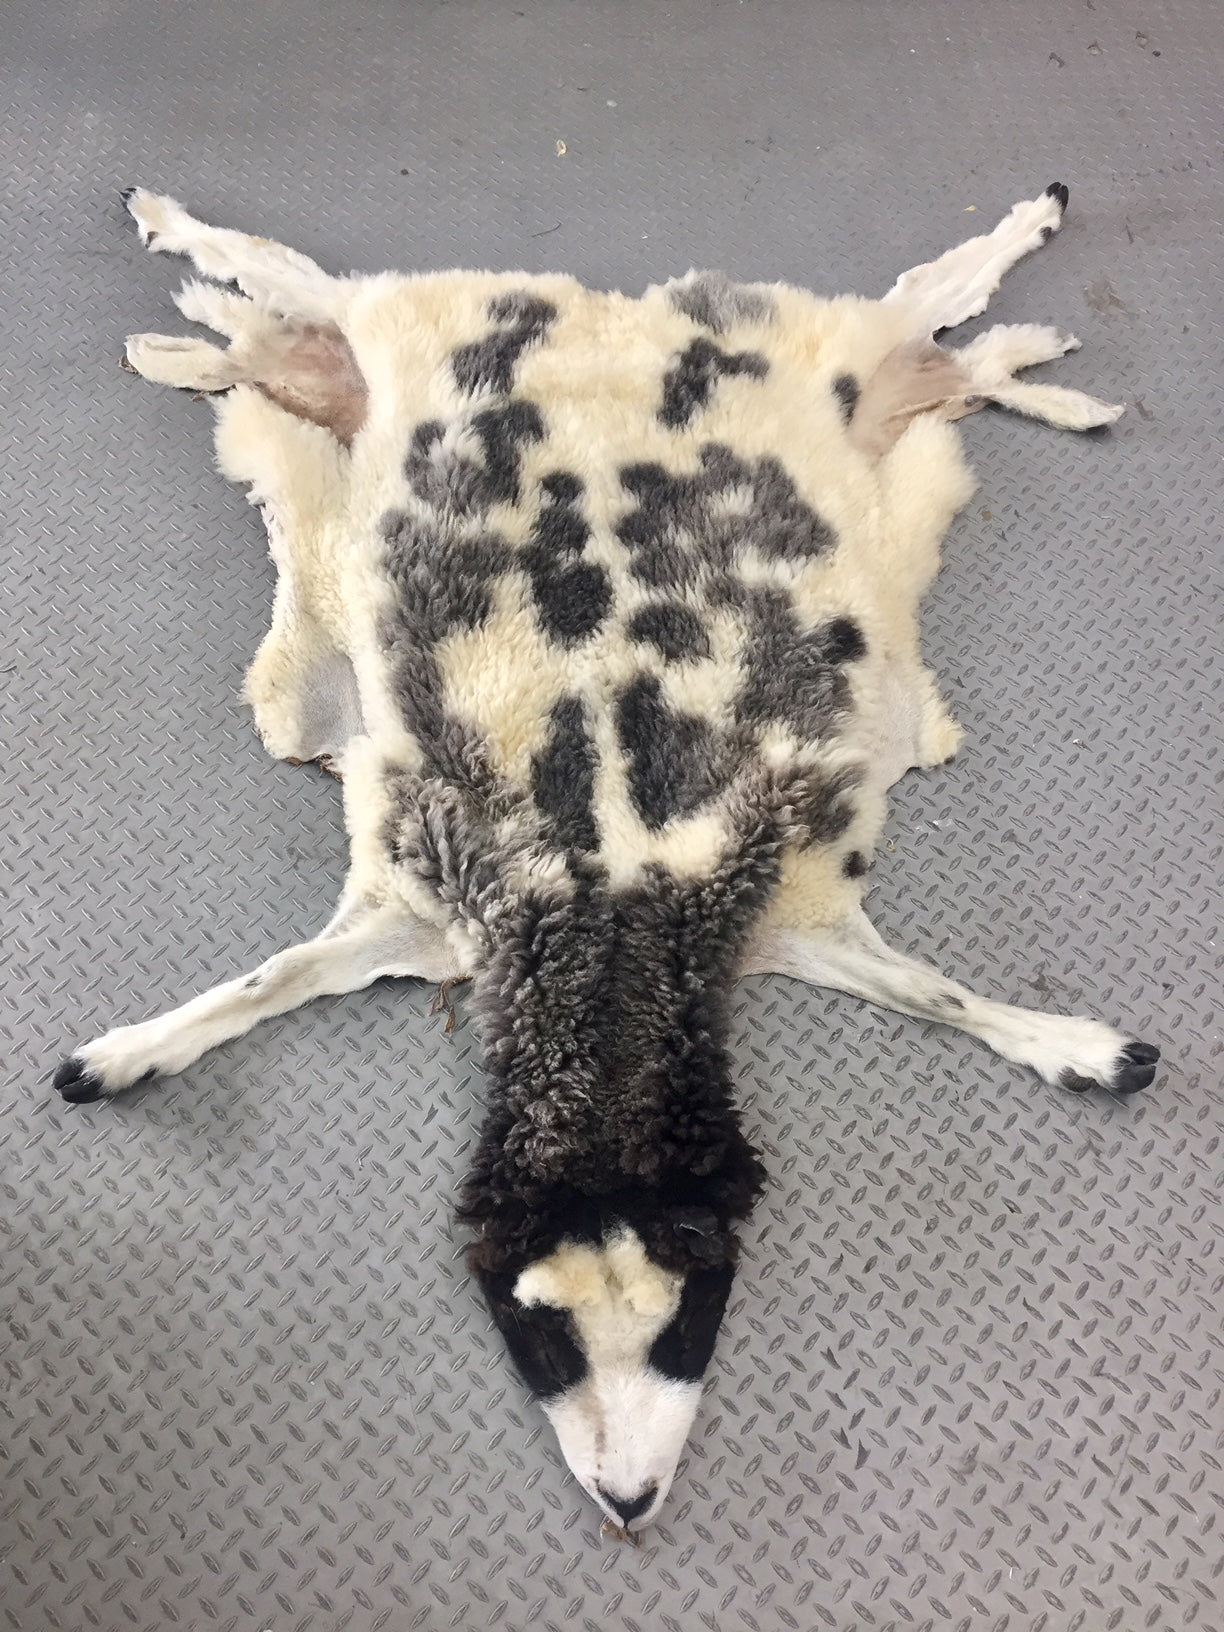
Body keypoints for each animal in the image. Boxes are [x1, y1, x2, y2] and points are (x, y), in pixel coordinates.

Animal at [53, 183, 1159, 1534]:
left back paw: (1026, 251)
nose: (630, 1503)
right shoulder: (422, 897)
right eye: (540, 1343)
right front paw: (122, 1055)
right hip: (387, 325)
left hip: (833, 363)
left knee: (925, 304)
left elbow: (936, 995)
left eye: (691, 1327)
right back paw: (172, 243)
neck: (614, 928)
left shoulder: (783, 902)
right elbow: (271, 981)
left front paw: (1082, 1049)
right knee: (278, 278)